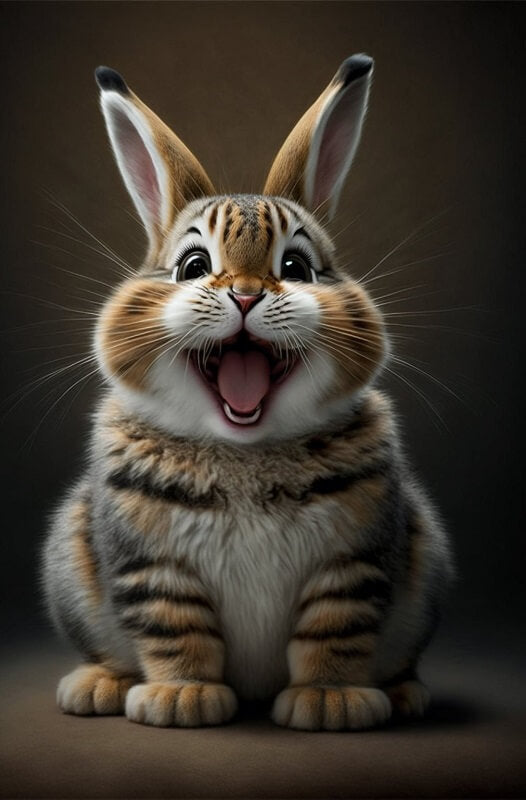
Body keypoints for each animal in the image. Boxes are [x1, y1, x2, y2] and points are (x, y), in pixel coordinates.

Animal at [42, 55, 453, 731]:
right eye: (192, 266)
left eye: (296, 269)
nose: (245, 294)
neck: (245, 451)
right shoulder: (154, 567)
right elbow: (177, 631)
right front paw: (182, 698)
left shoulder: (351, 561)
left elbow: (333, 629)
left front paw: (330, 702)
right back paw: (97, 685)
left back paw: (401, 694)